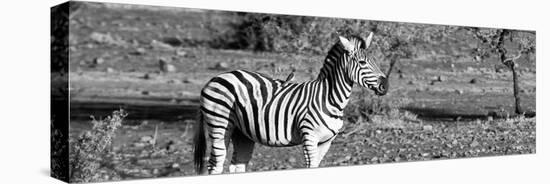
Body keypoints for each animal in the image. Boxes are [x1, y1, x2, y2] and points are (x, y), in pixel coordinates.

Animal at [194, 32, 388, 175]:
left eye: (374, 61)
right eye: (362, 62)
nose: (385, 86)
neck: (329, 99)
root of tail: (215, 78)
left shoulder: (327, 142)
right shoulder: (309, 138)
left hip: (242, 132)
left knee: (238, 164)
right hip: (219, 123)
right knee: (216, 163)